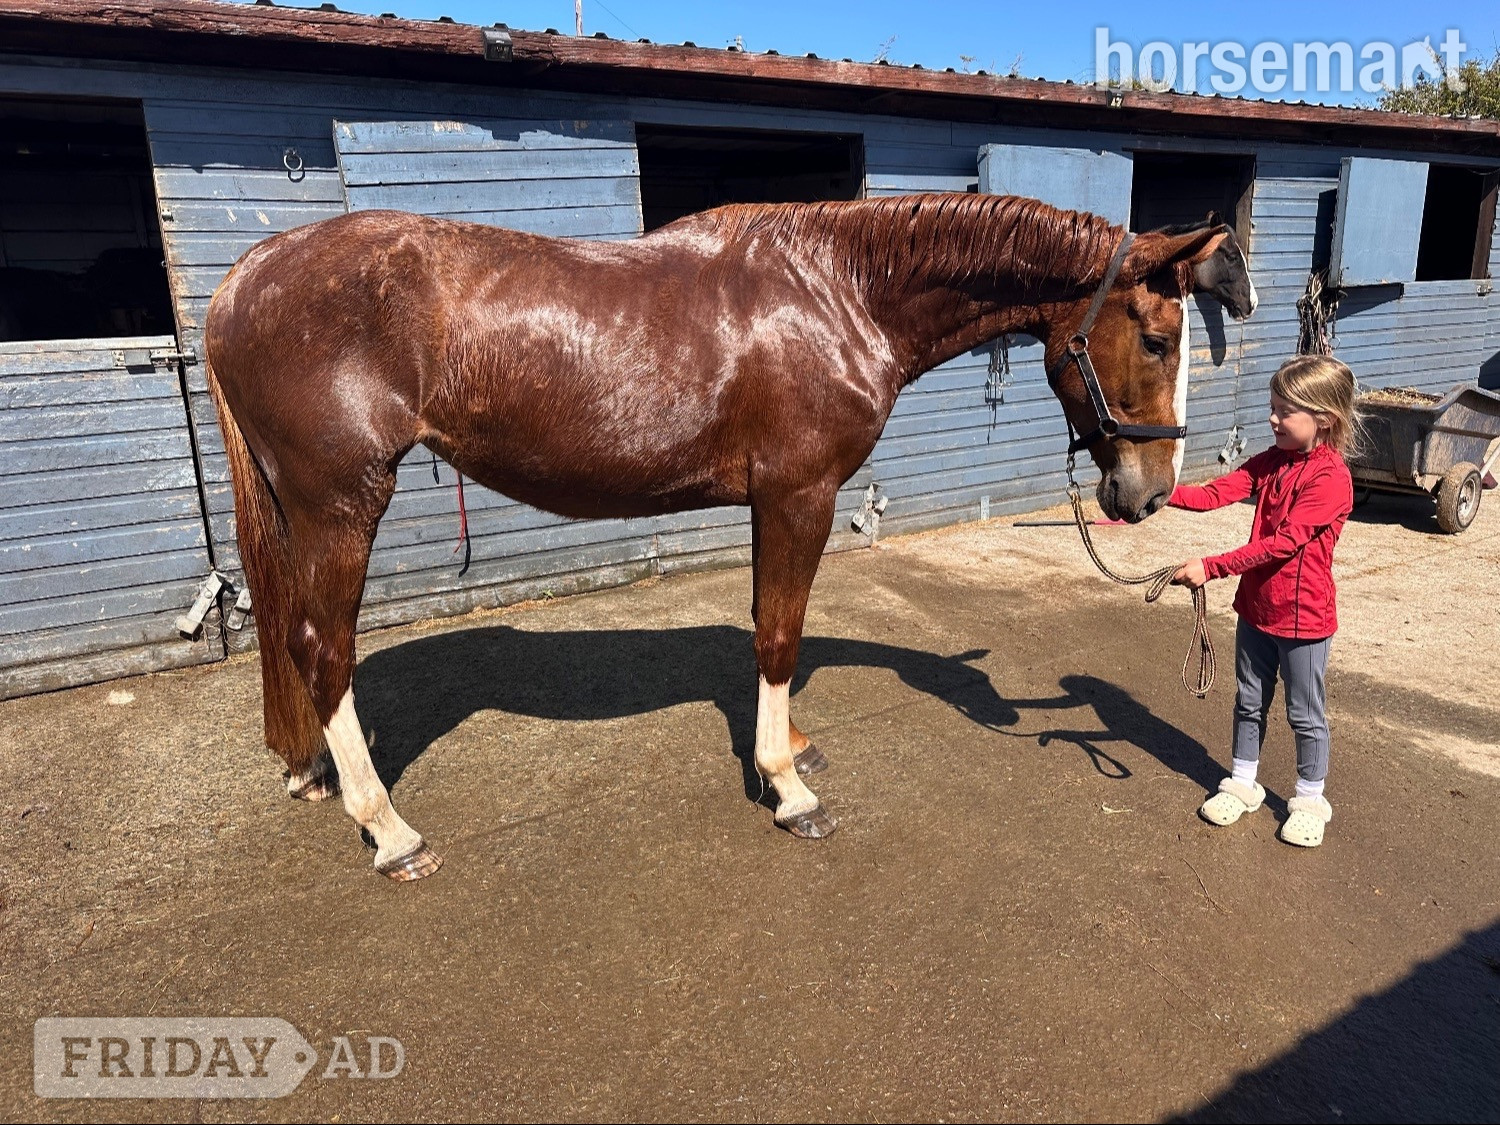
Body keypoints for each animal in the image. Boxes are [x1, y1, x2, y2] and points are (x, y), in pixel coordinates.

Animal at [203, 193, 1253, 880]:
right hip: (342, 504)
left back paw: (316, 776)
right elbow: (781, 632)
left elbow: (765, 628)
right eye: (1157, 339)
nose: (1150, 494)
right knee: (322, 647)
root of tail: (245, 278)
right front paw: (789, 790)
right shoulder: (799, 494)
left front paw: (789, 748)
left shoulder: (772, 501)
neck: (839, 293)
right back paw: (389, 829)